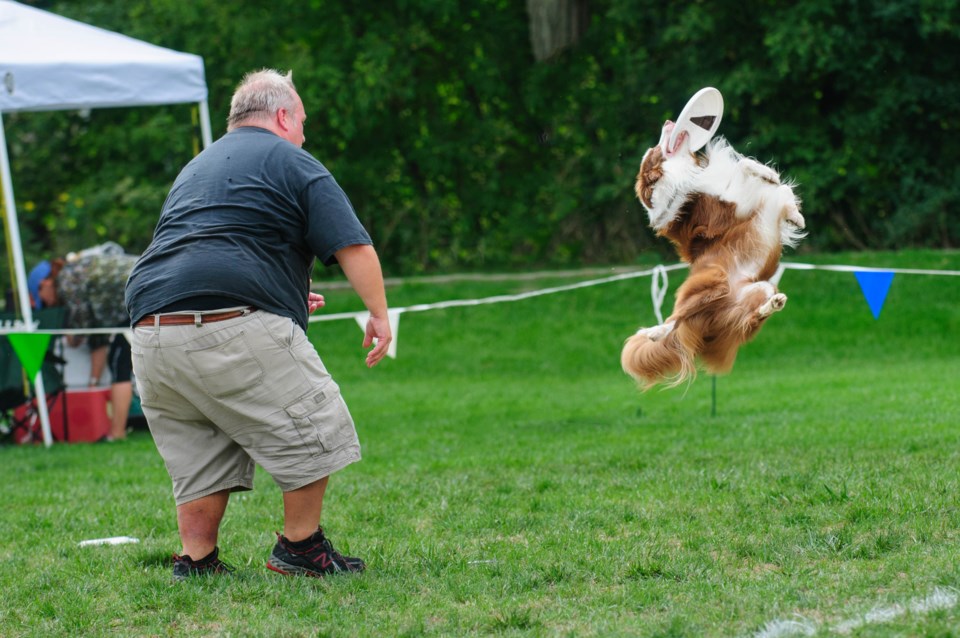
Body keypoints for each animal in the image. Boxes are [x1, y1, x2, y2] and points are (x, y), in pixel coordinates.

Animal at [620, 120, 808, 390]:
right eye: (656, 151)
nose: (668, 122)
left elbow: (777, 186)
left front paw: (793, 213)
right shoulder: (729, 204)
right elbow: (743, 168)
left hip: (761, 288)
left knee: (752, 316)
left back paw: (774, 304)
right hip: (710, 283)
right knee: (675, 318)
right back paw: (654, 332)